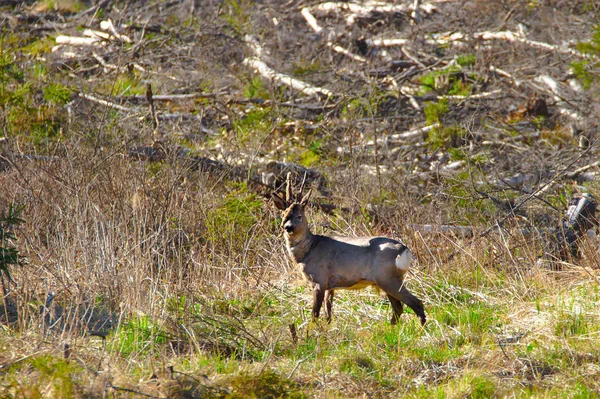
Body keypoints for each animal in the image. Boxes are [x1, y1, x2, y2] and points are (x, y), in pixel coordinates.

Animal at [272, 177, 426, 326]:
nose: (288, 227)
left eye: (299, 216)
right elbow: (328, 313)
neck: (308, 251)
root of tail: (405, 250)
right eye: (284, 214)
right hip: (387, 280)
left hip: (387, 277)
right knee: (398, 308)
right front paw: (328, 328)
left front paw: (312, 330)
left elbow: (315, 313)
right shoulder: (330, 285)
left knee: (416, 303)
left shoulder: (319, 280)